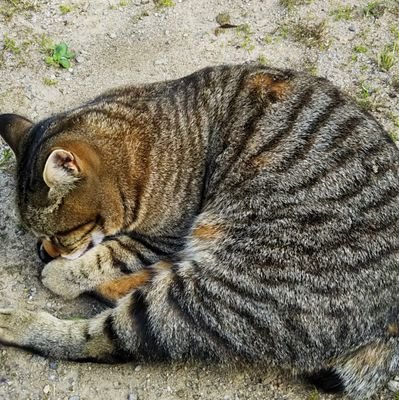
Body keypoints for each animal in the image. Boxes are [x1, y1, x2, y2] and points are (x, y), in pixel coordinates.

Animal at [0, 64, 399, 398]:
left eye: (62, 234)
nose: (46, 250)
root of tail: (385, 326)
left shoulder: (163, 234)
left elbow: (109, 254)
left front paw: (62, 272)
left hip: (219, 292)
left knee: (104, 340)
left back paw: (17, 321)